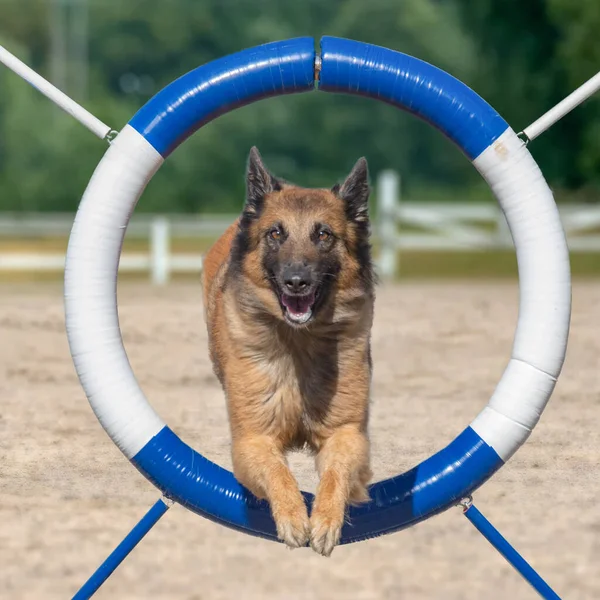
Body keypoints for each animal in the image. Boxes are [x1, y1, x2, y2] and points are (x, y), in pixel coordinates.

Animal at [204, 146, 378, 556]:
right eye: (275, 233)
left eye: (323, 234)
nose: (296, 282)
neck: (299, 343)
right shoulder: (253, 438)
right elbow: (278, 471)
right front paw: (294, 517)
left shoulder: (346, 433)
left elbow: (336, 474)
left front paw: (326, 520)